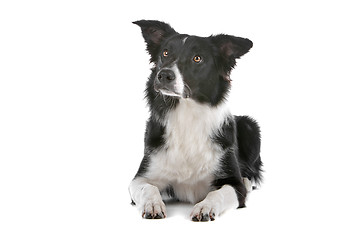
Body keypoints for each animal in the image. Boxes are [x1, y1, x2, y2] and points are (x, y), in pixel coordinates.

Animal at [129, 20, 262, 221]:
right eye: (165, 53)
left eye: (197, 58)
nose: (164, 75)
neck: (186, 114)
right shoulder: (141, 177)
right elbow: (148, 188)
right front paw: (153, 205)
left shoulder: (234, 184)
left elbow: (218, 193)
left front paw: (205, 207)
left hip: (250, 126)